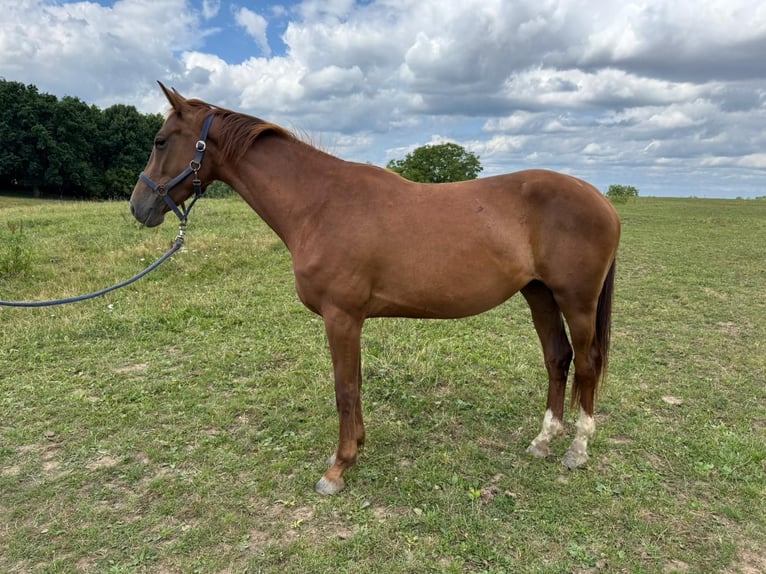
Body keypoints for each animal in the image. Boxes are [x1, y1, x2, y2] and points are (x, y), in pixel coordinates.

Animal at [130, 83, 621, 495]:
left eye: (159, 140)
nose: (139, 206)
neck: (319, 203)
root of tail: (601, 199)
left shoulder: (341, 317)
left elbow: (344, 387)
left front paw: (337, 468)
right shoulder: (351, 320)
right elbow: (356, 383)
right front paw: (354, 449)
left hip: (576, 301)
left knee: (588, 363)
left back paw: (577, 450)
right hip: (539, 294)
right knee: (558, 358)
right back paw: (543, 441)